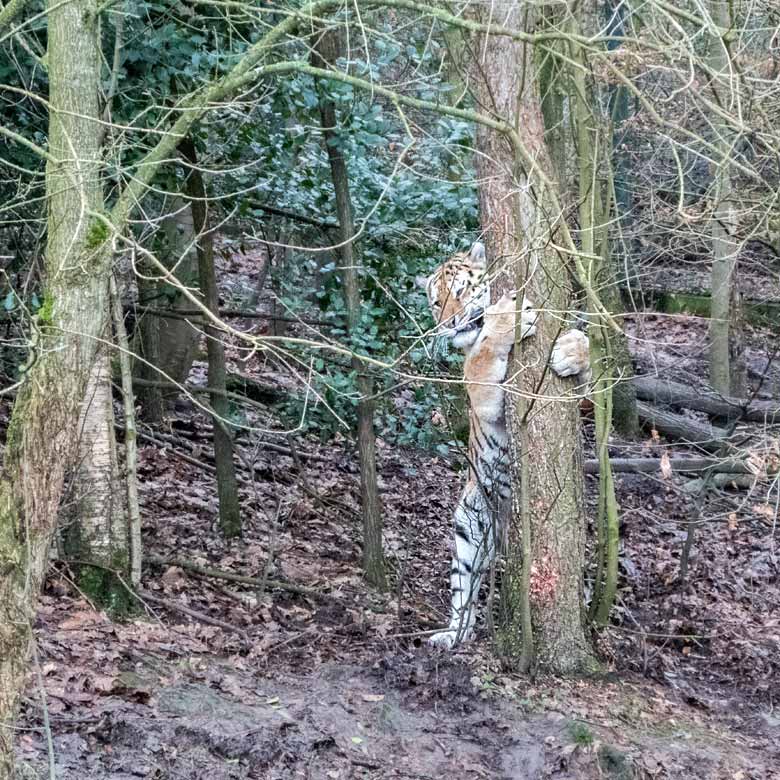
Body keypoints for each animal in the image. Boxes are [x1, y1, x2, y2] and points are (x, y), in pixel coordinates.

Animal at [424, 241, 588, 648]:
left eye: (460, 291)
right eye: (435, 302)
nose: (447, 324)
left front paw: (571, 350)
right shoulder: (486, 398)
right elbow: (481, 357)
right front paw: (508, 317)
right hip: (469, 524)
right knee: (463, 595)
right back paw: (450, 637)